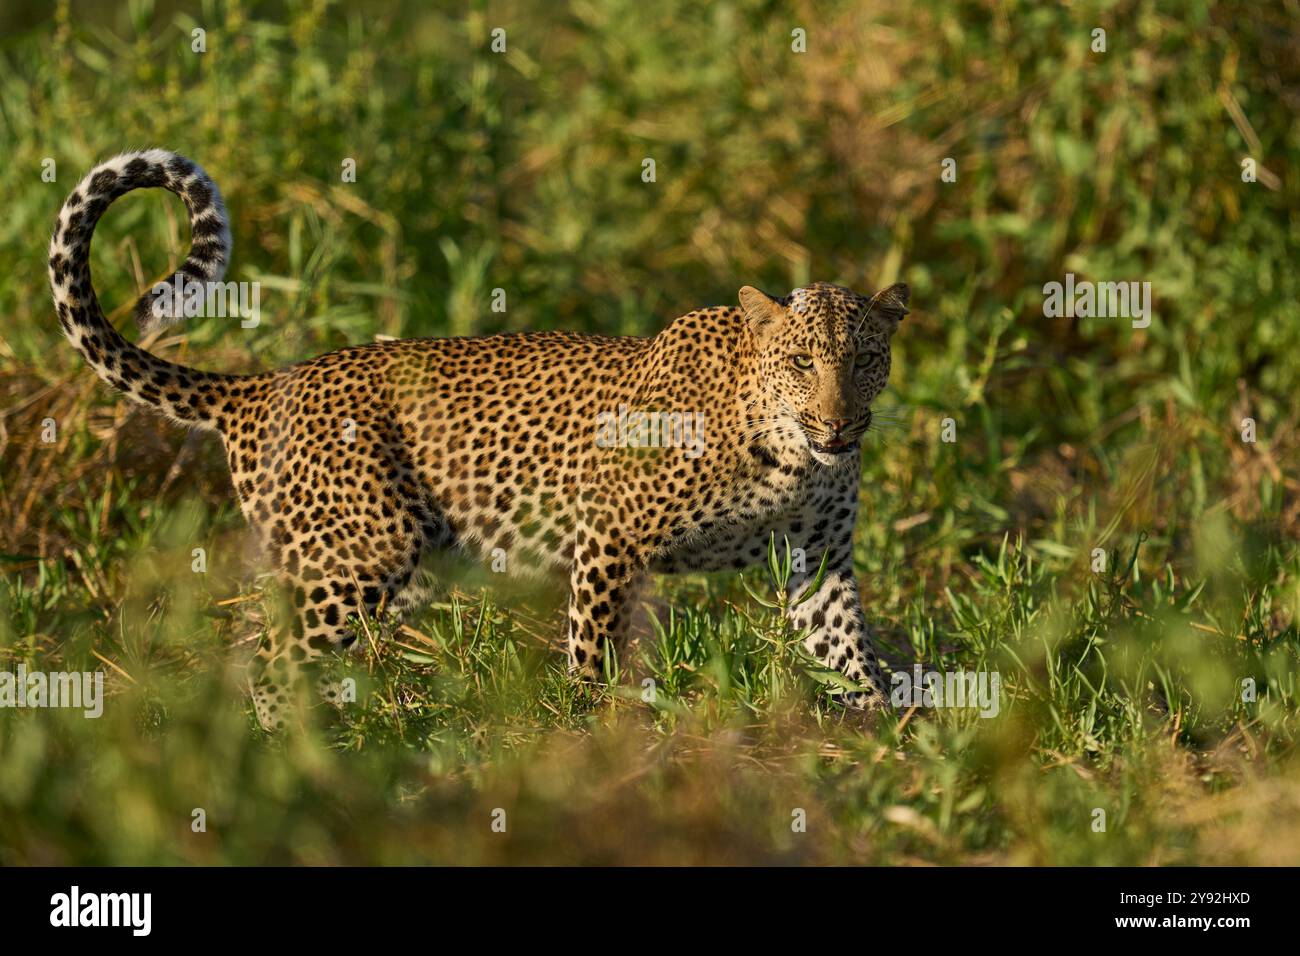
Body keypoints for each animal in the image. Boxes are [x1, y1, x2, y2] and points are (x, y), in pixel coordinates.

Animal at [45, 151, 909, 733]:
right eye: (802, 362)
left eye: (866, 360)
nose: (840, 424)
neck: (789, 457)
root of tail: (262, 387)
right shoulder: (610, 536)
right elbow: (592, 648)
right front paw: (594, 729)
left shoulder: (820, 558)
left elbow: (848, 646)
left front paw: (894, 725)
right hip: (360, 552)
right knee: (268, 659)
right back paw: (292, 750)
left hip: (384, 563)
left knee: (257, 642)